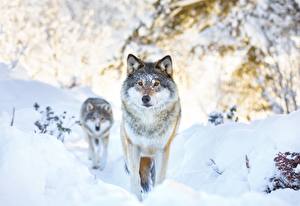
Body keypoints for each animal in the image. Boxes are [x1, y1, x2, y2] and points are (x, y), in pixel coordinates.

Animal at [119, 53, 180, 200]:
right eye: (140, 83)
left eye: (156, 83)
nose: (145, 98)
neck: (148, 123)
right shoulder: (134, 147)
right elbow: (135, 178)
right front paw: (136, 198)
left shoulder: (162, 150)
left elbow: (159, 178)